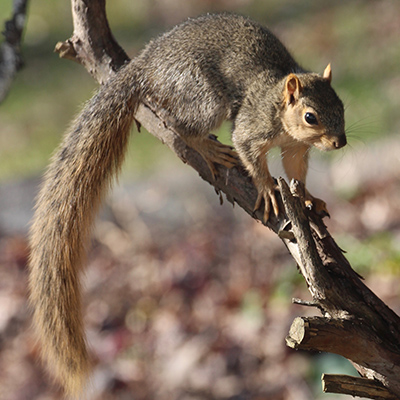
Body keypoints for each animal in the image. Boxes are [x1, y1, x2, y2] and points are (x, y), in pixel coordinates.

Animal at [28, 12, 346, 396]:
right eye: (310, 116)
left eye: (341, 106)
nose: (341, 142)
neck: (276, 105)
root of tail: (148, 62)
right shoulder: (251, 128)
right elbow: (251, 155)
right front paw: (268, 188)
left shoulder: (296, 149)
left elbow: (297, 172)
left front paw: (308, 197)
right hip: (203, 97)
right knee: (179, 126)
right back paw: (206, 147)